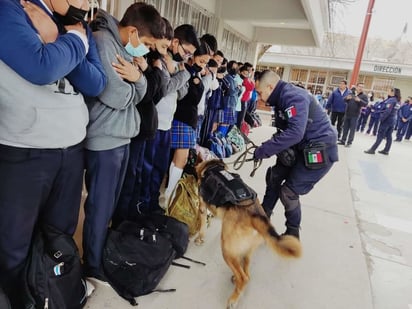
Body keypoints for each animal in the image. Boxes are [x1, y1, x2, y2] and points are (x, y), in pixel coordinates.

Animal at [195, 159, 300, 308]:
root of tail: (254, 216)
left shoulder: (202, 207)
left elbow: (203, 225)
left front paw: (200, 238)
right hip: (246, 250)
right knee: (246, 273)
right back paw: (236, 279)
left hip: (227, 251)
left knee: (243, 277)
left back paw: (233, 299)